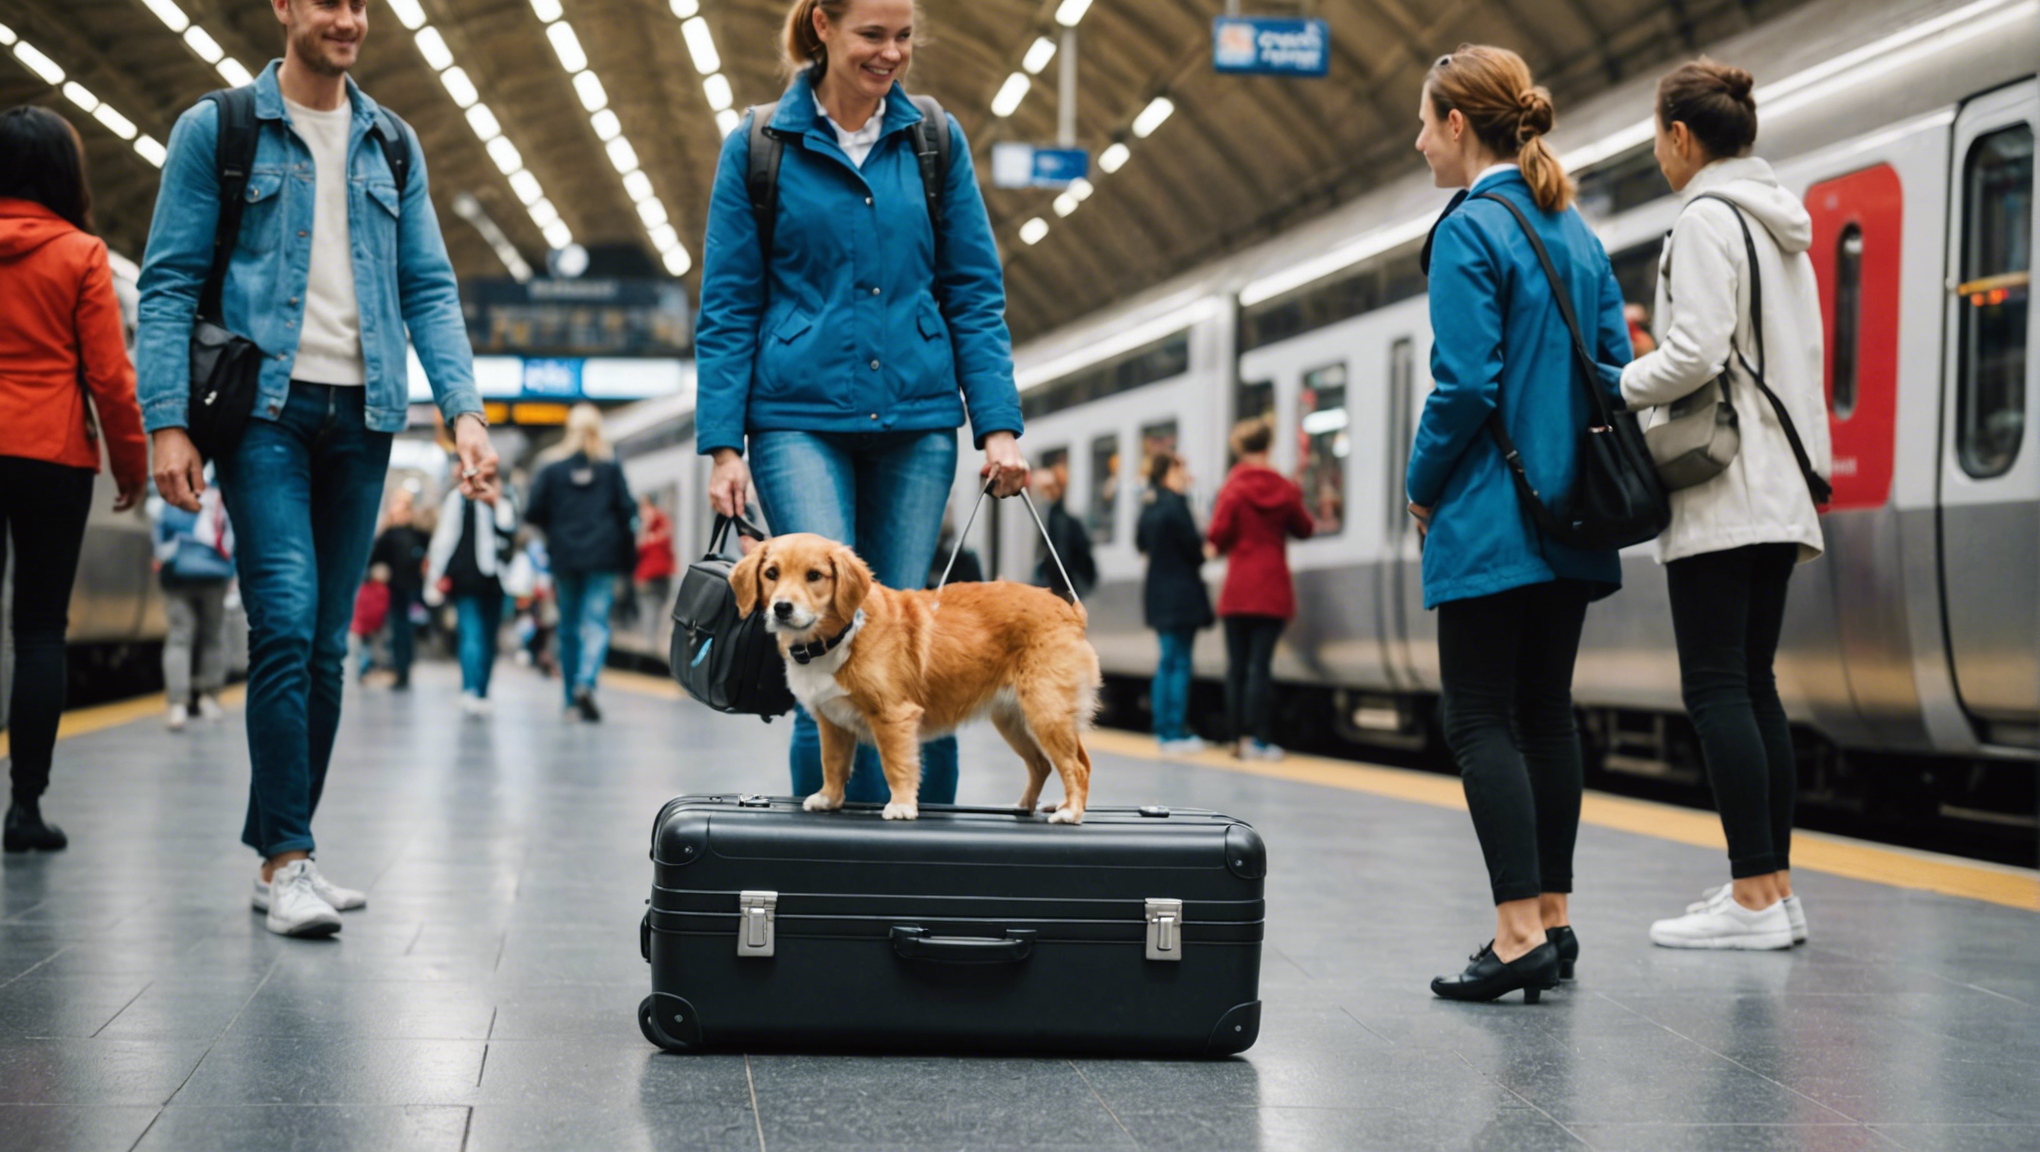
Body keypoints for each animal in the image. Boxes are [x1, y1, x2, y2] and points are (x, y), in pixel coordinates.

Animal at [734, 534, 1101, 823]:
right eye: (771, 573)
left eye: (814, 576)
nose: (782, 608)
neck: (838, 638)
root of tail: (1071, 611)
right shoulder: (832, 722)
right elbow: (832, 764)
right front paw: (829, 798)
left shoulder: (894, 717)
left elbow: (897, 765)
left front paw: (900, 806)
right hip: (1015, 721)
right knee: (1043, 764)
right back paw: (1027, 805)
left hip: (1046, 712)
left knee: (1077, 765)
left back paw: (1071, 812)